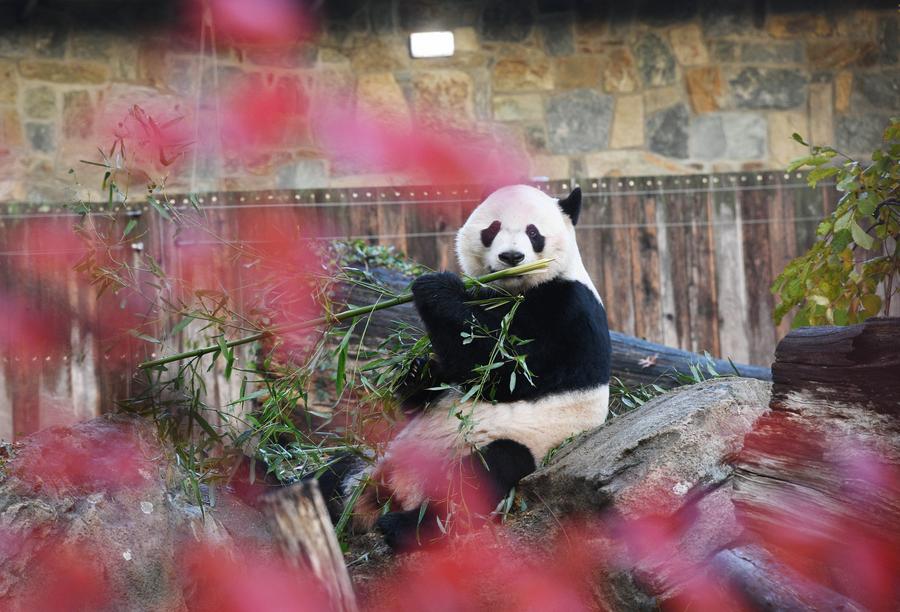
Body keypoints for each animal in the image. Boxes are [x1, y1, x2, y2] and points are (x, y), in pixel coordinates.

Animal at [318, 183, 612, 548]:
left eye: (534, 233)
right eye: (492, 229)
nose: (511, 257)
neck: (514, 287)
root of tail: (396, 490)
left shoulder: (568, 312)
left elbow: (504, 372)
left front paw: (435, 287)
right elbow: (447, 374)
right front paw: (416, 371)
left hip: (510, 446)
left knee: (483, 475)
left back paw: (404, 527)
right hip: (375, 458)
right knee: (332, 474)